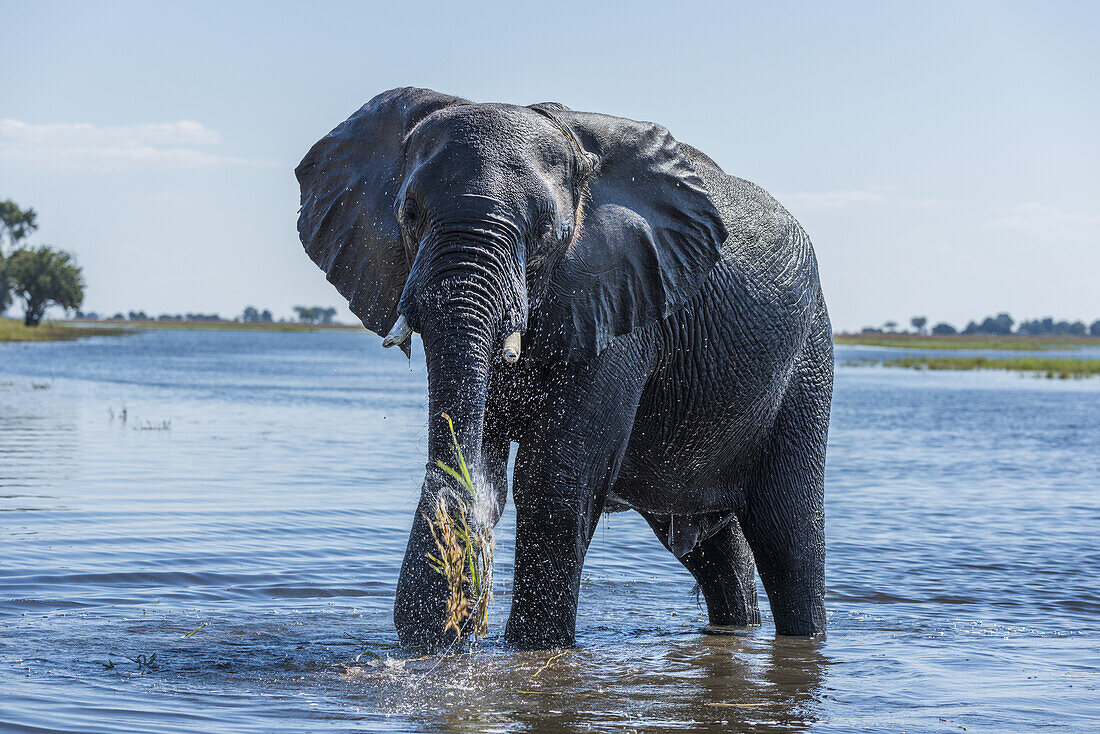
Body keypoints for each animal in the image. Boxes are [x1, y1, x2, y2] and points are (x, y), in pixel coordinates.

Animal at [297, 89, 827, 651]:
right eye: (409, 214)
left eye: (544, 231)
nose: (448, 630)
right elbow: (490, 463)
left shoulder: (619, 298)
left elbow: (553, 475)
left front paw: (532, 648)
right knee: (712, 547)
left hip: (807, 360)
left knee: (788, 533)